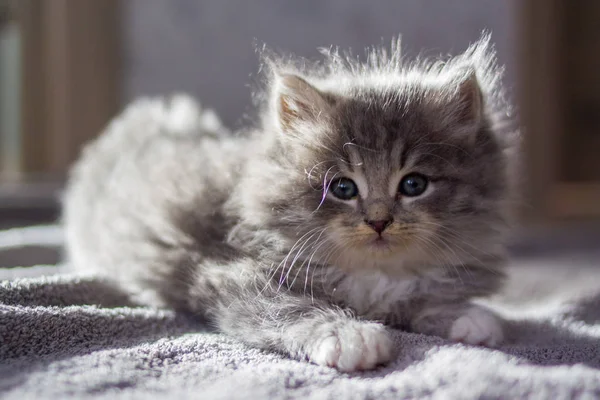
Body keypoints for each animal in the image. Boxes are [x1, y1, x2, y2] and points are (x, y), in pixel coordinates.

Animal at [63, 33, 516, 372]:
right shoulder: (229, 272)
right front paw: (347, 334)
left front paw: (463, 313)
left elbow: (417, 294)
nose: (378, 221)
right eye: (343, 188)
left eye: (414, 184)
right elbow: (291, 307)